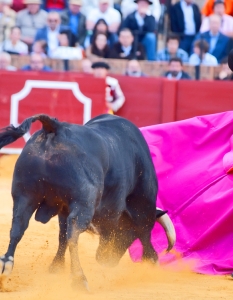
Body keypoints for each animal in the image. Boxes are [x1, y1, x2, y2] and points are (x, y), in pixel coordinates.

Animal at [0, 114, 175, 288]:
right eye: (130, 235)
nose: (109, 261)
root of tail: (55, 127)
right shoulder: (132, 208)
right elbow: (142, 233)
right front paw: (151, 260)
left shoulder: (63, 209)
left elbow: (62, 236)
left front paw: (56, 267)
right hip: (84, 202)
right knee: (73, 233)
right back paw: (79, 278)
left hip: (24, 196)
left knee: (18, 226)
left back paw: (6, 265)